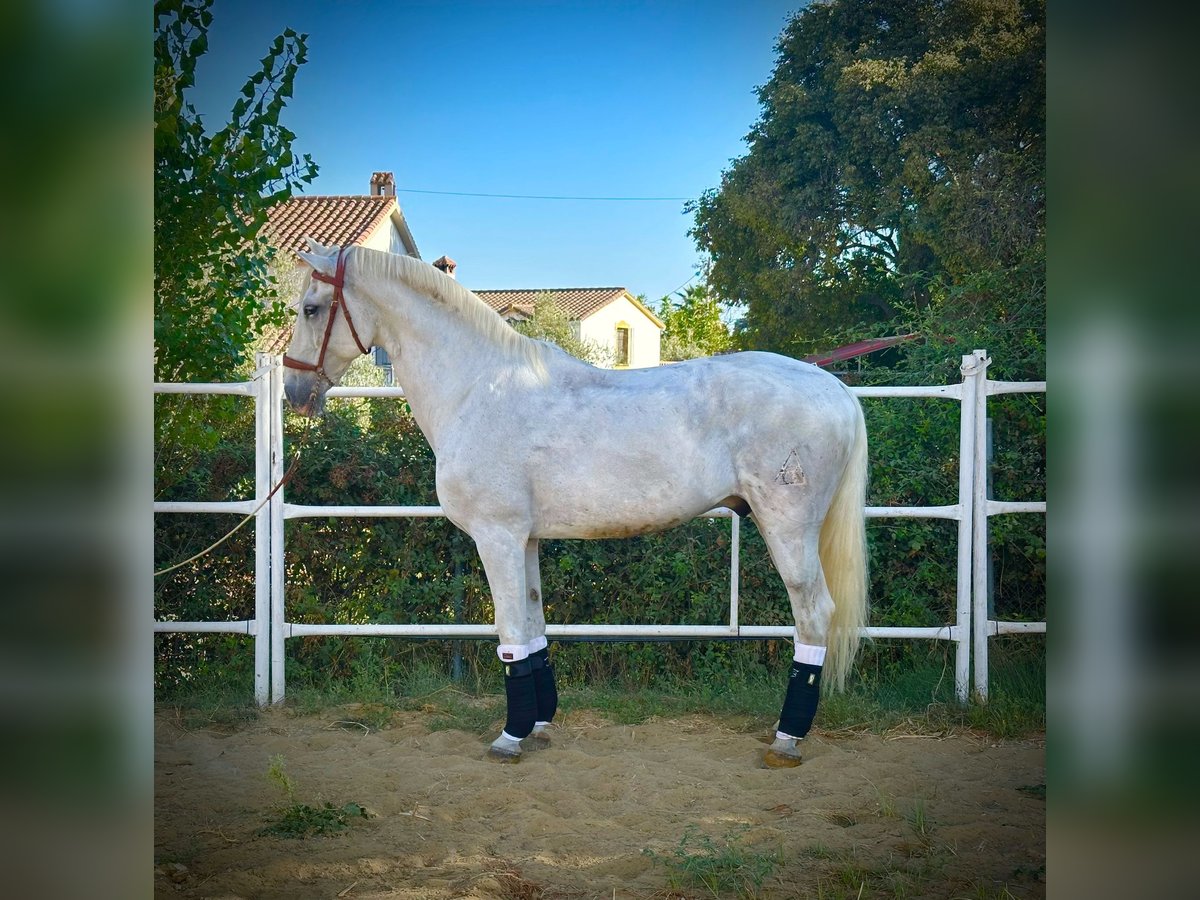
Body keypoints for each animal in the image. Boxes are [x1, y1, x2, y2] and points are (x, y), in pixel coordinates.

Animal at [282, 240, 868, 767]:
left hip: (787, 528)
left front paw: (510, 736)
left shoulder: (497, 536)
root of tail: (834, 389)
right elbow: (534, 627)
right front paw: (539, 723)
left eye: (311, 309)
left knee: (814, 615)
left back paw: (787, 739)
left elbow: (510, 632)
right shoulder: (526, 539)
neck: (478, 389)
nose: (293, 393)